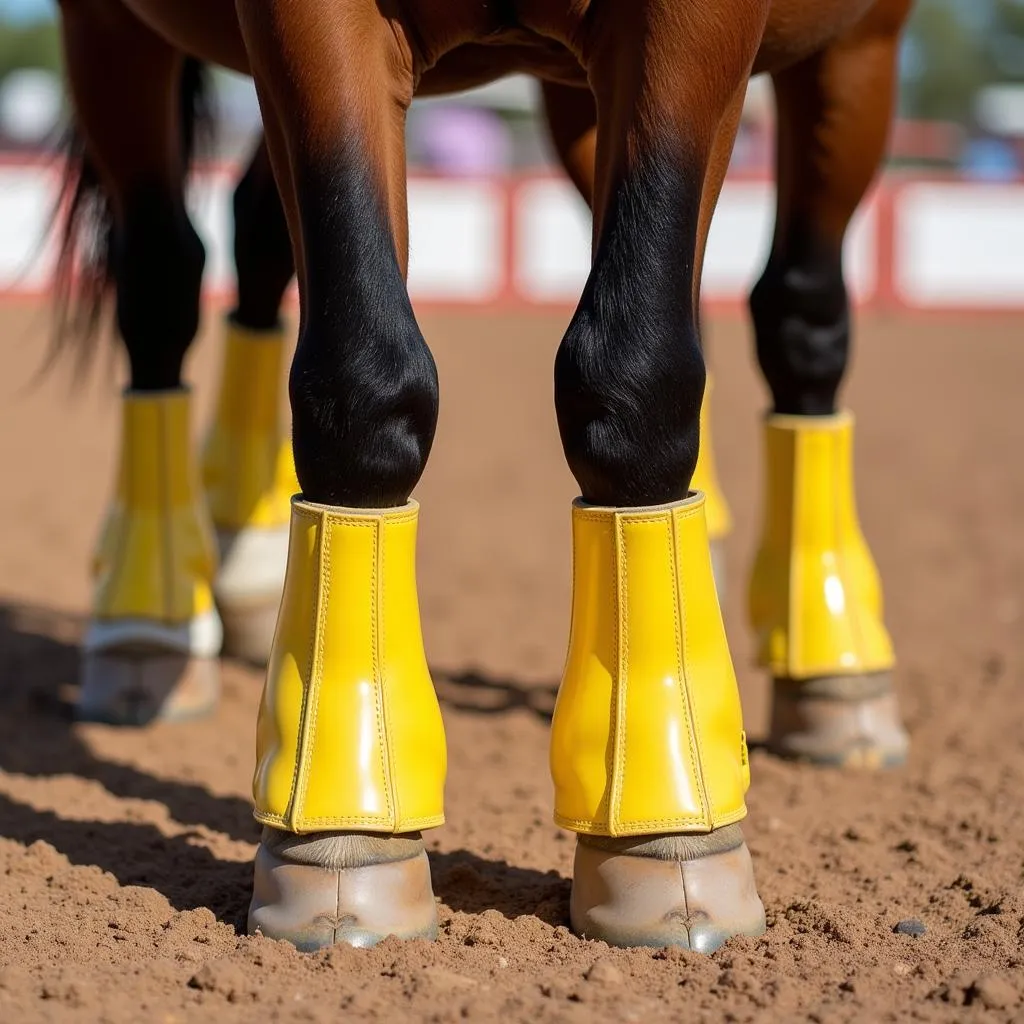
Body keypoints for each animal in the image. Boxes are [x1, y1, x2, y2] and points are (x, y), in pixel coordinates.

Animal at [51, 0, 913, 950]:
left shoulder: (736, 35)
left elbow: (649, 368)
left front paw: (670, 822)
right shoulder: (309, 25)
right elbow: (363, 378)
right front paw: (344, 832)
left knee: (794, 316)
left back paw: (830, 659)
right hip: (109, 32)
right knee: (161, 279)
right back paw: (151, 618)